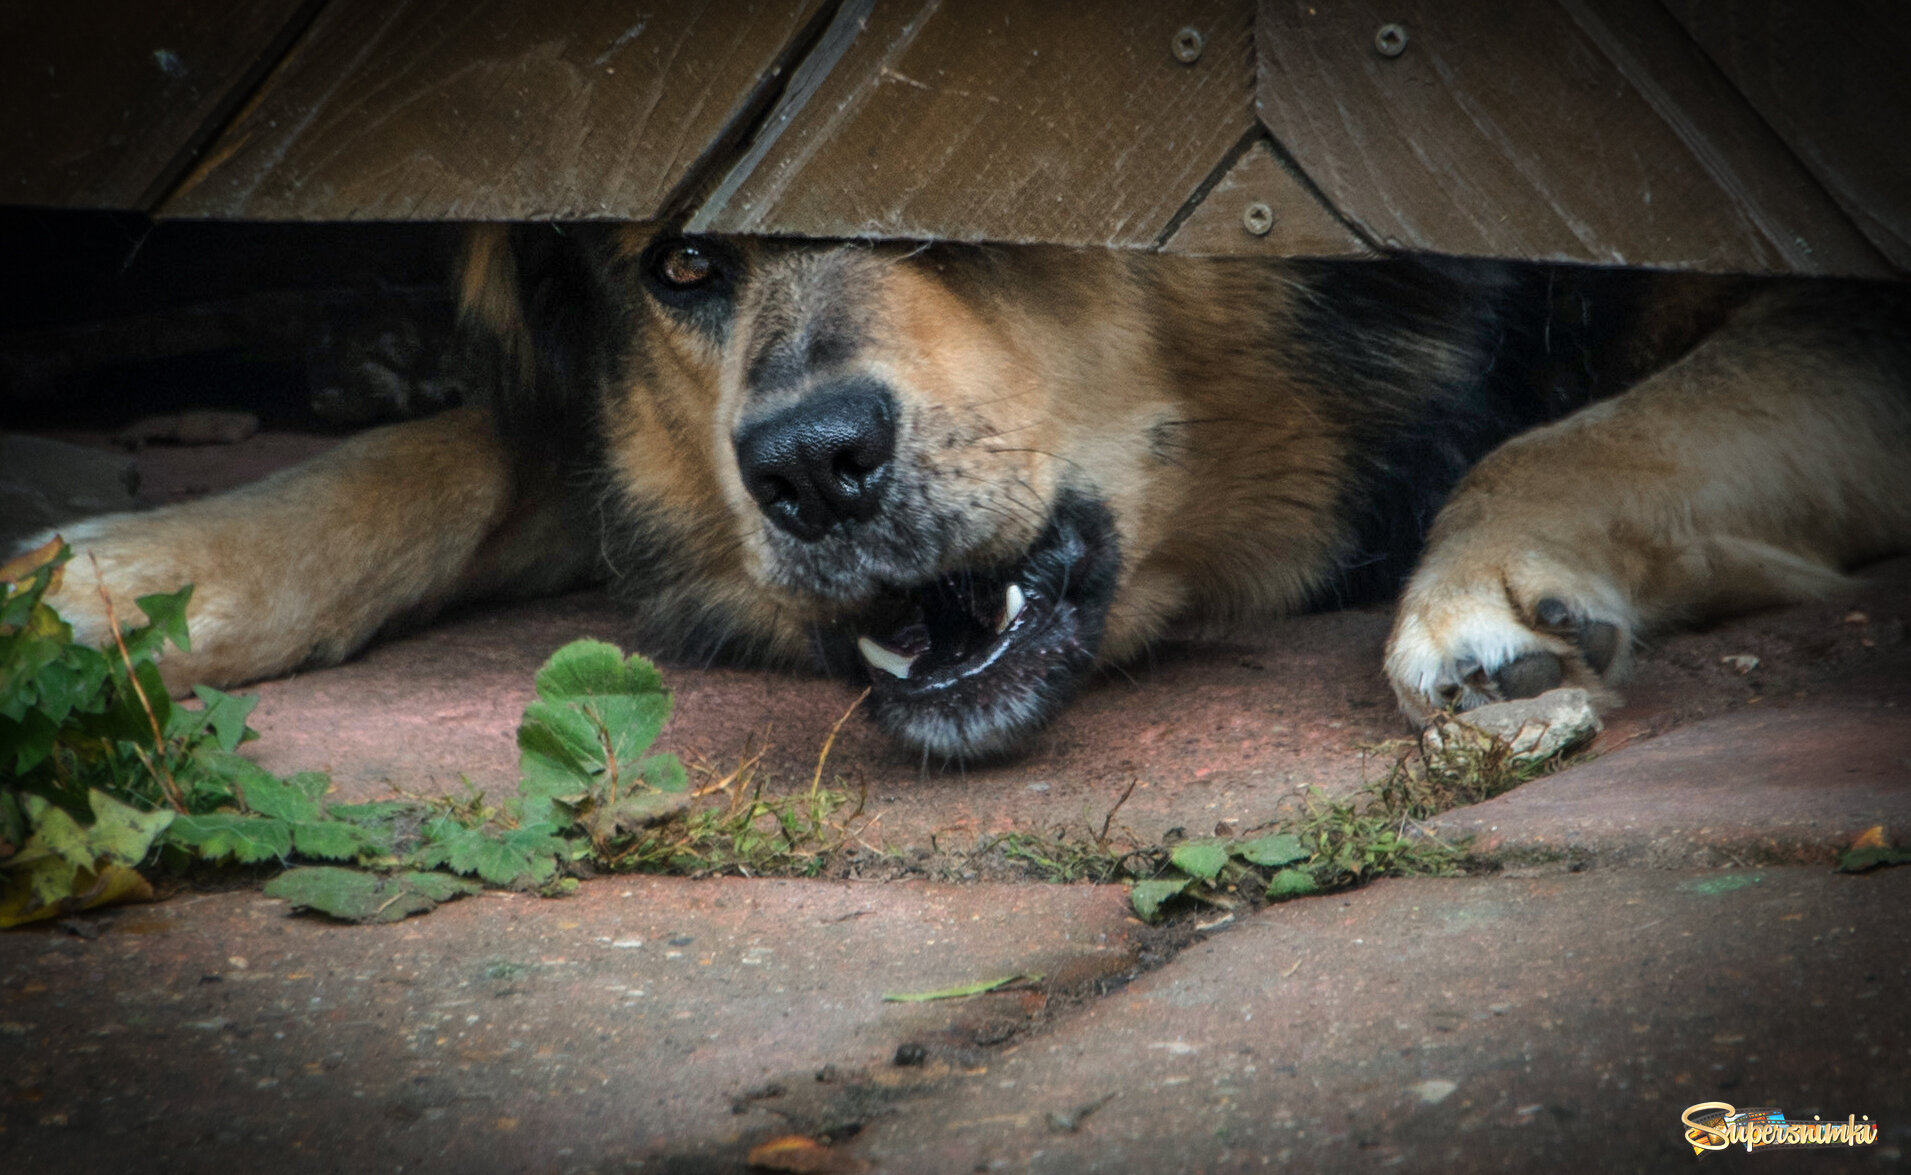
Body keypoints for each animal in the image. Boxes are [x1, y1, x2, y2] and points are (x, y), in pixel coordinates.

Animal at [29, 225, 1911, 764]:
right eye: (684, 266)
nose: (803, 464)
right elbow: (464, 455)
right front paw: (132, 576)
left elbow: (1593, 427)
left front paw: (1489, 583)